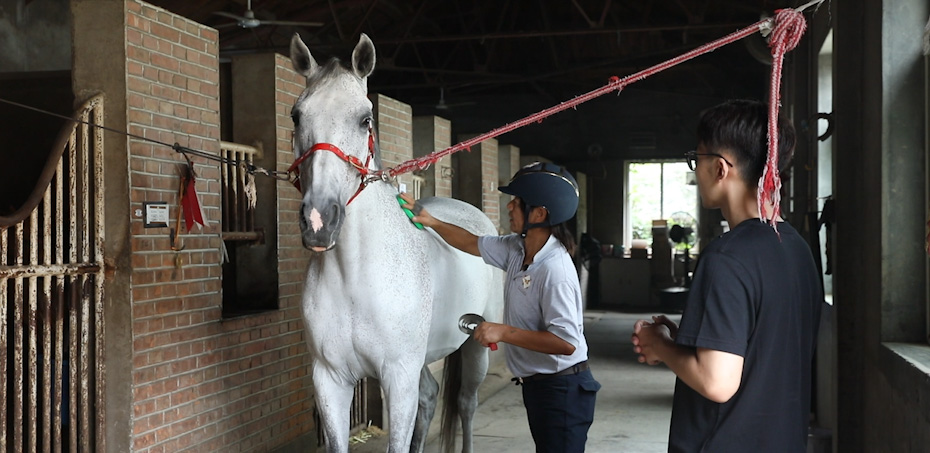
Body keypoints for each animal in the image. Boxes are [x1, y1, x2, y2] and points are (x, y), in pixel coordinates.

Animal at [290, 32, 504, 452]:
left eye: (365, 119)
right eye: (296, 115)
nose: (319, 221)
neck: (355, 277)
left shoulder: (398, 377)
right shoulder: (330, 380)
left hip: (476, 346)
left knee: (466, 403)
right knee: (432, 395)